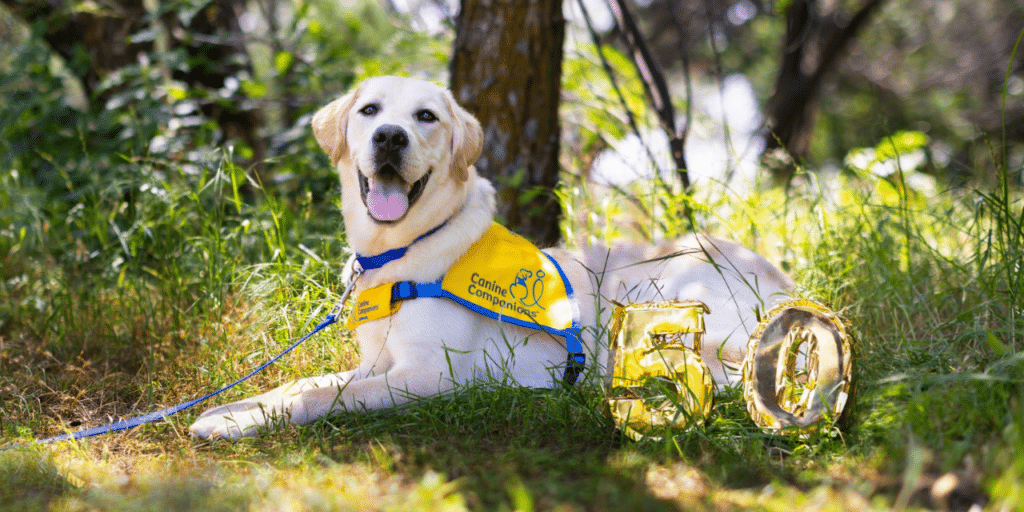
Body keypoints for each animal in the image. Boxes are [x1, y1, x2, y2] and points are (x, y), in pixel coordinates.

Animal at [188, 75, 794, 440]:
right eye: (369, 110)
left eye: (426, 116)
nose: (390, 137)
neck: (397, 254)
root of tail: (786, 281)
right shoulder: (376, 362)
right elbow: (303, 383)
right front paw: (227, 408)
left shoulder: (427, 374)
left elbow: (321, 398)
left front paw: (236, 424)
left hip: (663, 285)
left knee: (718, 371)